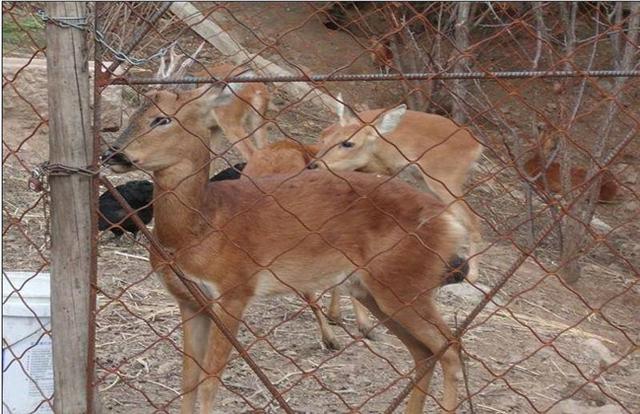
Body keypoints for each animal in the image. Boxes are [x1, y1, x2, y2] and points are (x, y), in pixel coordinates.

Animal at [312, 96, 482, 284]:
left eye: (348, 143)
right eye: (324, 136)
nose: (314, 164)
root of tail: (476, 146)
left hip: (445, 180)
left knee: (473, 220)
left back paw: (472, 275)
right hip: (426, 180)